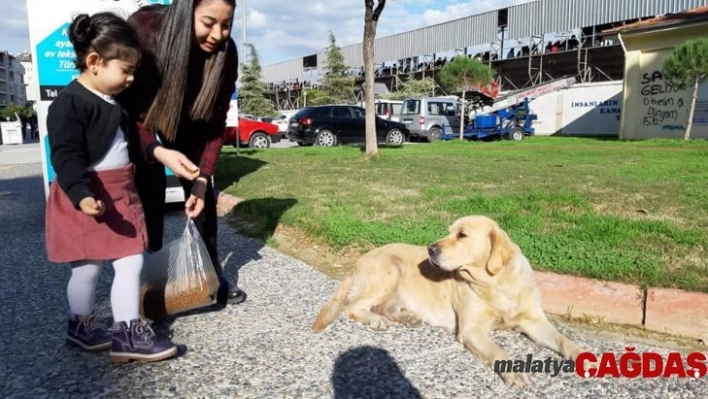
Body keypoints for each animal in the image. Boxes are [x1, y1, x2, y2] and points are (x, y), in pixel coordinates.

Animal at [312, 216, 584, 388]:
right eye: (449, 231)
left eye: (462, 235)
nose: (430, 249)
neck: (497, 283)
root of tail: (357, 262)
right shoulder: (472, 330)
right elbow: (498, 351)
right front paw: (514, 373)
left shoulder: (535, 321)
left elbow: (563, 340)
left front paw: (582, 355)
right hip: (391, 268)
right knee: (353, 307)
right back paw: (375, 320)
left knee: (384, 306)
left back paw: (407, 317)